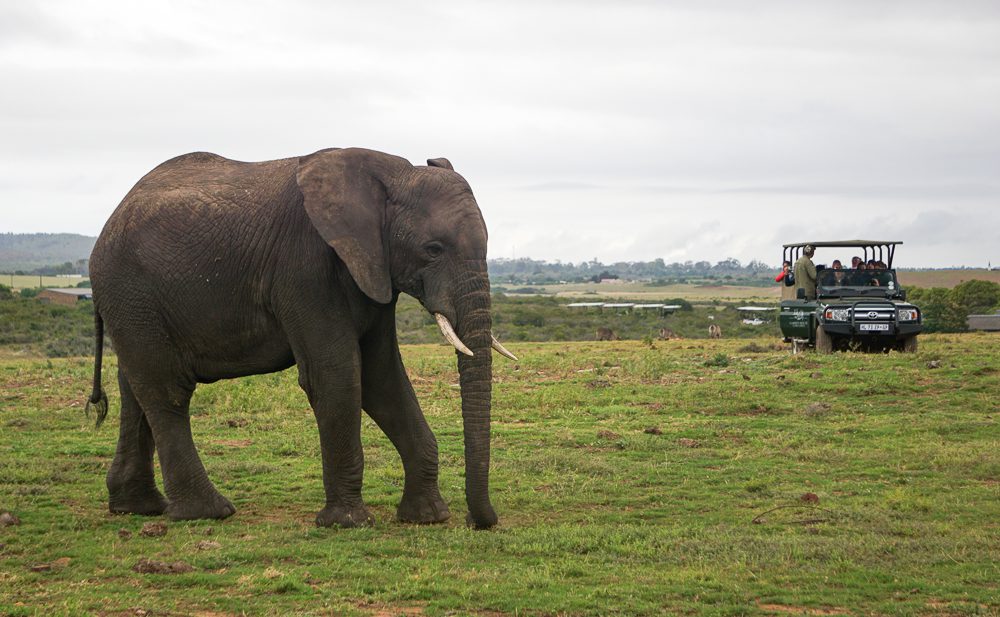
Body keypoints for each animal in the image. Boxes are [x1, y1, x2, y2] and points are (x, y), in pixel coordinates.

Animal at [85, 147, 516, 528]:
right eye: (433, 249)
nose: (479, 522)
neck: (391, 172)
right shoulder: (304, 268)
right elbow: (337, 376)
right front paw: (347, 523)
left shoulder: (373, 269)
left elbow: (382, 379)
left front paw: (427, 517)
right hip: (132, 291)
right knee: (166, 391)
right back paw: (207, 512)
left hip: (135, 304)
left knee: (134, 388)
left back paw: (137, 508)